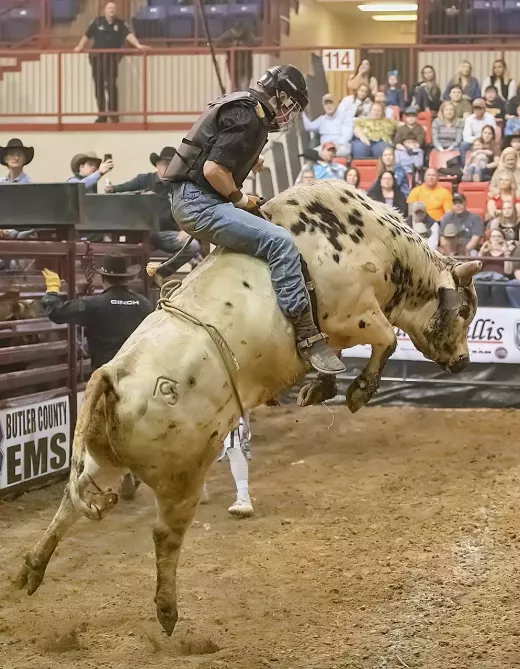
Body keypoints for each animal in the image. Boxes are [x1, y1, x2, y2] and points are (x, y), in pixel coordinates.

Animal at [15, 180, 481, 636]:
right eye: (464, 309)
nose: (463, 362)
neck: (375, 241)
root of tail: (112, 376)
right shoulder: (356, 315)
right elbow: (384, 340)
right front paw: (359, 392)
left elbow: (327, 355)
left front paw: (318, 388)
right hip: (181, 476)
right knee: (164, 534)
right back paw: (167, 612)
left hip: (105, 457)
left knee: (71, 502)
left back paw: (32, 569)